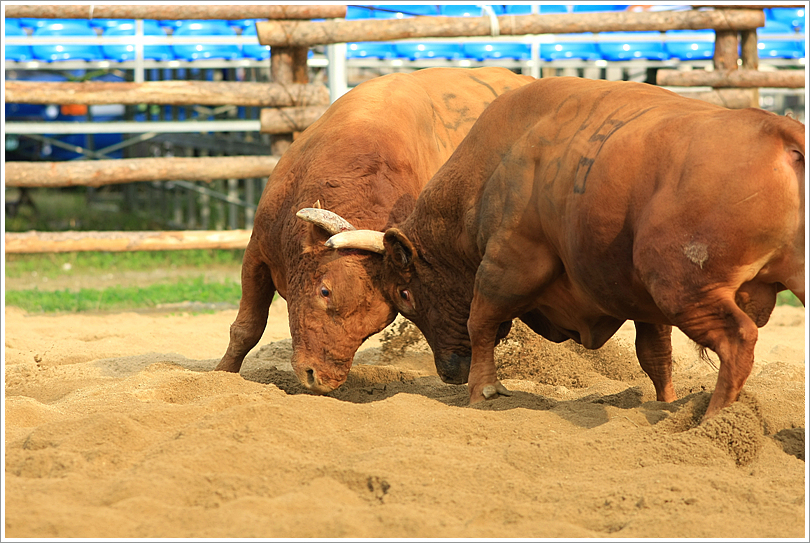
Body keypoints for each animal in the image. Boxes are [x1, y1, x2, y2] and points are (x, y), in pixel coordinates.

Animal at [215, 67, 532, 392]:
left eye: (374, 326)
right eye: (325, 291)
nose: (319, 378)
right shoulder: (257, 251)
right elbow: (247, 328)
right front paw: (222, 373)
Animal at [326, 77, 800, 420]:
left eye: (404, 294)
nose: (449, 373)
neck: (492, 167)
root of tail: (779, 131)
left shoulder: (509, 262)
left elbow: (481, 321)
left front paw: (482, 390)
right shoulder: (643, 304)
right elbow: (656, 356)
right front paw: (665, 404)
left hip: (683, 287)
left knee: (738, 340)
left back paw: (714, 420)